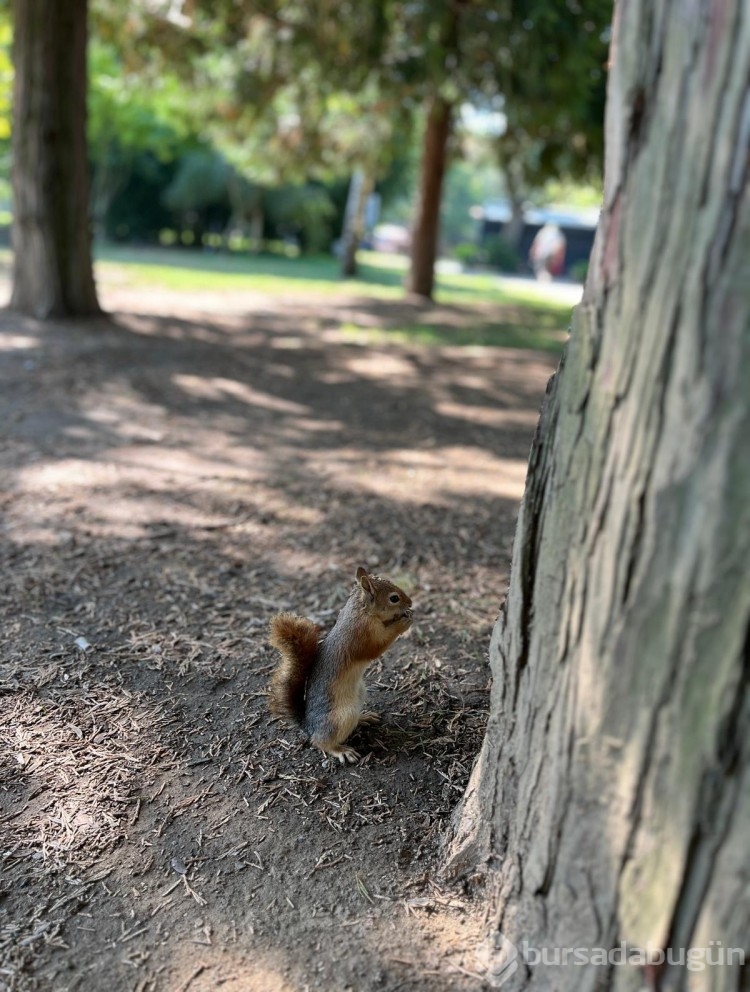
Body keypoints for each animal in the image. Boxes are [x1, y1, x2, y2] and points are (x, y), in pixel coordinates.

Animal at [268, 564, 414, 768]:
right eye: (394, 598)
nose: (410, 602)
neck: (361, 611)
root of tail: (310, 726)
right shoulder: (362, 635)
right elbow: (377, 646)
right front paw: (403, 622)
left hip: (359, 695)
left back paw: (364, 717)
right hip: (341, 716)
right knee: (321, 742)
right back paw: (340, 750)